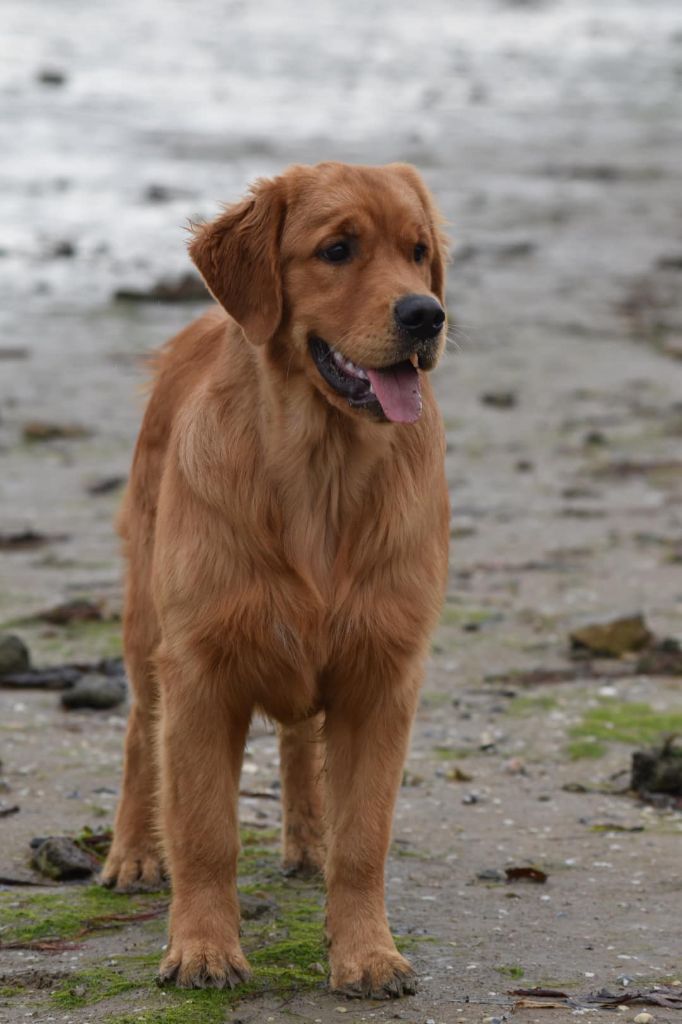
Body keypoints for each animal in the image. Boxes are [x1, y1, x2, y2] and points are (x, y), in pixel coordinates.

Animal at [100, 161, 448, 999]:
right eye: (337, 249)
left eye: (418, 252)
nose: (427, 315)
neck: (321, 471)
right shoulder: (198, 671)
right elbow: (204, 833)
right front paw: (201, 949)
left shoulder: (382, 674)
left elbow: (364, 839)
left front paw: (366, 953)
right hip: (147, 623)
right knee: (138, 736)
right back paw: (133, 853)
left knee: (298, 741)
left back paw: (308, 839)